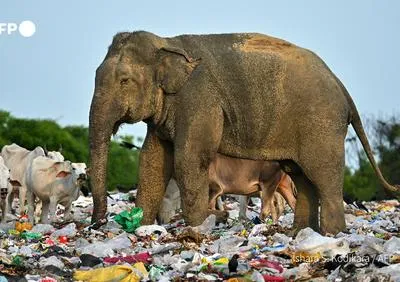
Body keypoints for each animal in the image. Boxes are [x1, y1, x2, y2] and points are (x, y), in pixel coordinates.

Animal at [89, 30, 398, 235]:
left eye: (124, 80)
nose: (97, 224)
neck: (168, 43)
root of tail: (341, 86)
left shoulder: (199, 98)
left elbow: (189, 158)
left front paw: (196, 229)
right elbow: (152, 160)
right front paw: (141, 227)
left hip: (322, 124)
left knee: (323, 176)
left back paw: (332, 235)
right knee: (301, 175)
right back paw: (299, 234)